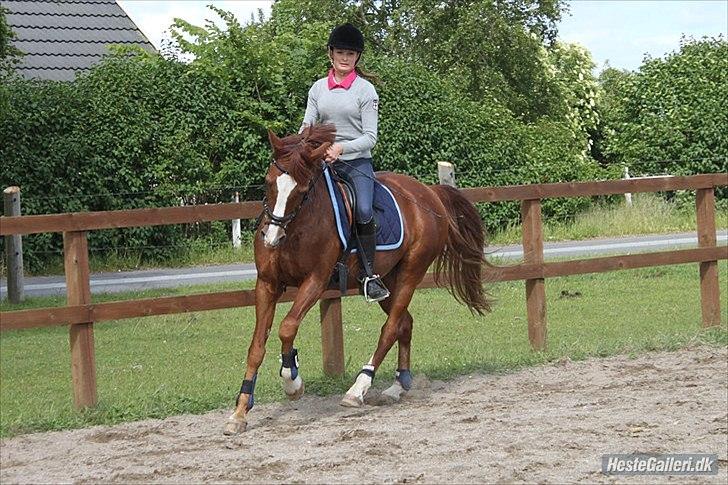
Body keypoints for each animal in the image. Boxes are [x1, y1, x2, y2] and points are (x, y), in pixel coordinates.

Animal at [225, 123, 492, 432]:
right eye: (268, 182)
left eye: (301, 190)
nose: (271, 238)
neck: (298, 227)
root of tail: (429, 192)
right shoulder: (267, 284)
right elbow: (256, 347)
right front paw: (240, 412)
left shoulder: (315, 282)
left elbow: (287, 327)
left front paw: (292, 382)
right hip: (387, 281)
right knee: (404, 323)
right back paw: (398, 386)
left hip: (411, 273)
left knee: (390, 328)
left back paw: (358, 388)